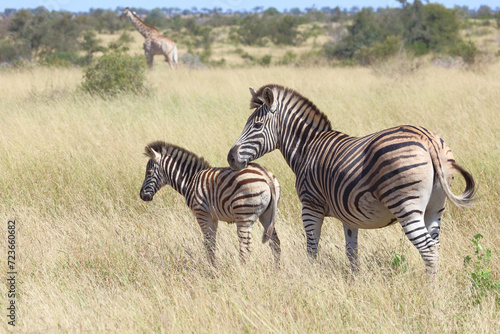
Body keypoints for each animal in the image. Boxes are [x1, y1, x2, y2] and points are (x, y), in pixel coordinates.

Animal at [140, 141, 282, 266]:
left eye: (149, 172)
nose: (142, 196)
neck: (190, 180)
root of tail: (266, 176)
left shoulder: (202, 214)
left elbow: (208, 243)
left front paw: (211, 269)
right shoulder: (213, 217)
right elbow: (213, 242)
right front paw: (213, 266)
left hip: (243, 215)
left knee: (245, 247)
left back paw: (243, 270)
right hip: (267, 215)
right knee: (275, 243)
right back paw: (276, 270)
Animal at [227, 85, 476, 276]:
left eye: (257, 125)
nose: (230, 157)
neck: (307, 148)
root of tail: (427, 138)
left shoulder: (310, 206)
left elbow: (311, 248)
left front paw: (312, 278)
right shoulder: (349, 214)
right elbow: (351, 252)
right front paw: (355, 282)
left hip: (406, 205)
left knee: (428, 249)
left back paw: (430, 293)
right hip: (435, 207)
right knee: (436, 246)